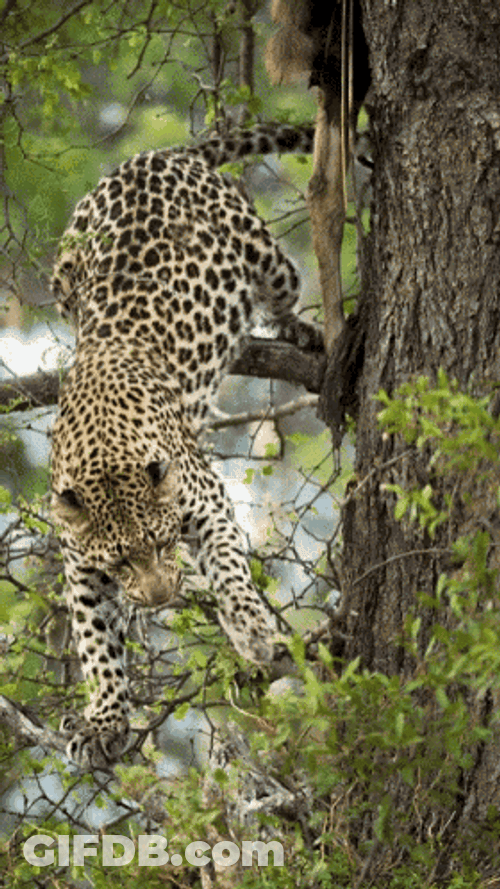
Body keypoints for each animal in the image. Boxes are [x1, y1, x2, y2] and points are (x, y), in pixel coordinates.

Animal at [50, 123, 323, 769]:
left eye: (160, 542)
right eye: (119, 561)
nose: (157, 598)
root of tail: (156, 156)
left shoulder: (209, 506)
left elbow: (228, 569)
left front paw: (253, 632)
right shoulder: (80, 561)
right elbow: (96, 642)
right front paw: (103, 720)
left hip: (261, 250)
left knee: (283, 287)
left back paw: (301, 330)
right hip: (63, 272)